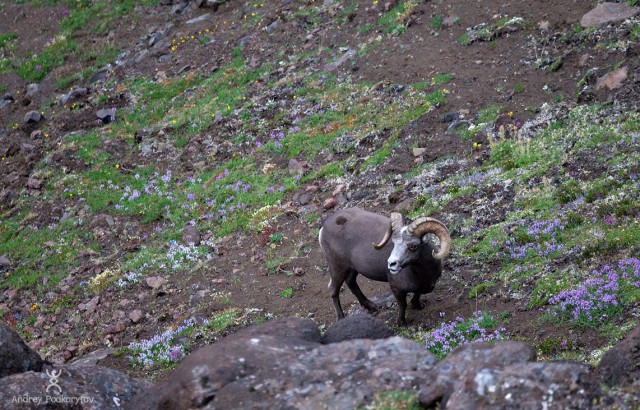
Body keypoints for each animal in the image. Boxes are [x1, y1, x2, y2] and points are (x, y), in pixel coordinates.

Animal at [318, 208, 450, 326]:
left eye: (413, 246)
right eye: (394, 243)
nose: (391, 264)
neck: (424, 273)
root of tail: (324, 226)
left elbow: (417, 294)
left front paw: (417, 306)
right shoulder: (397, 289)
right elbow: (403, 305)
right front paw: (402, 323)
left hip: (351, 269)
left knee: (351, 282)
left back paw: (373, 308)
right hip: (338, 268)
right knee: (333, 289)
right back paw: (341, 317)